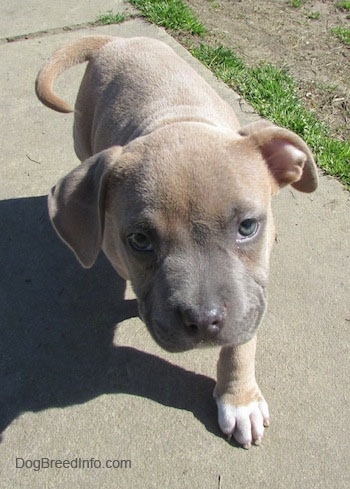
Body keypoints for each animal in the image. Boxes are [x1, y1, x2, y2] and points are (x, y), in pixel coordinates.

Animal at [35, 36, 318, 448]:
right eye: (140, 240)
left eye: (248, 226)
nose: (203, 321)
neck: (179, 121)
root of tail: (119, 39)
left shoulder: (251, 294)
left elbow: (241, 342)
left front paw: (239, 400)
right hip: (82, 138)